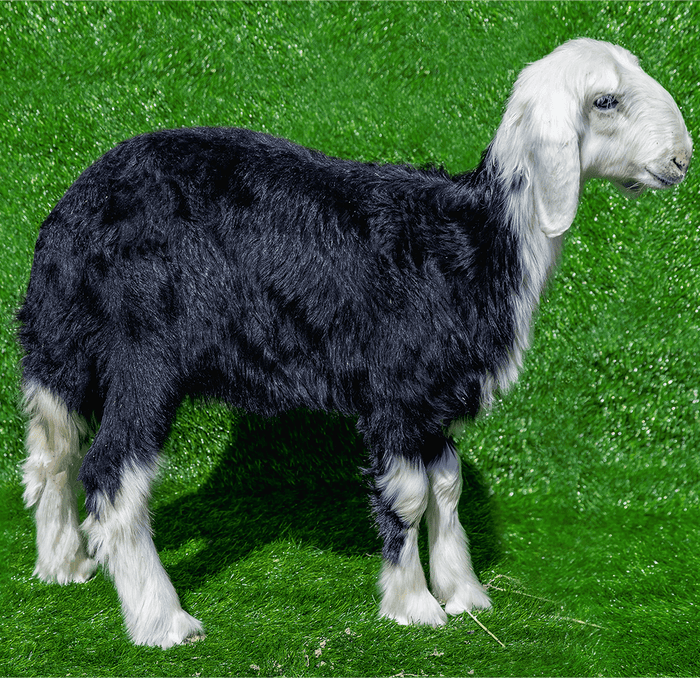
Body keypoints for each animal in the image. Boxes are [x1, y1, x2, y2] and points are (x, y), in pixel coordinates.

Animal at [18, 38, 692, 648]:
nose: (682, 159)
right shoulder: (397, 391)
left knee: (52, 453)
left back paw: (64, 567)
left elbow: (447, 485)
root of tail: (75, 212)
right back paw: (162, 621)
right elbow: (410, 496)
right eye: (605, 101)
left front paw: (464, 595)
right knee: (111, 477)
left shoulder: (434, 397)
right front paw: (413, 606)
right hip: (146, 352)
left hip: (60, 345)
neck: (479, 238)